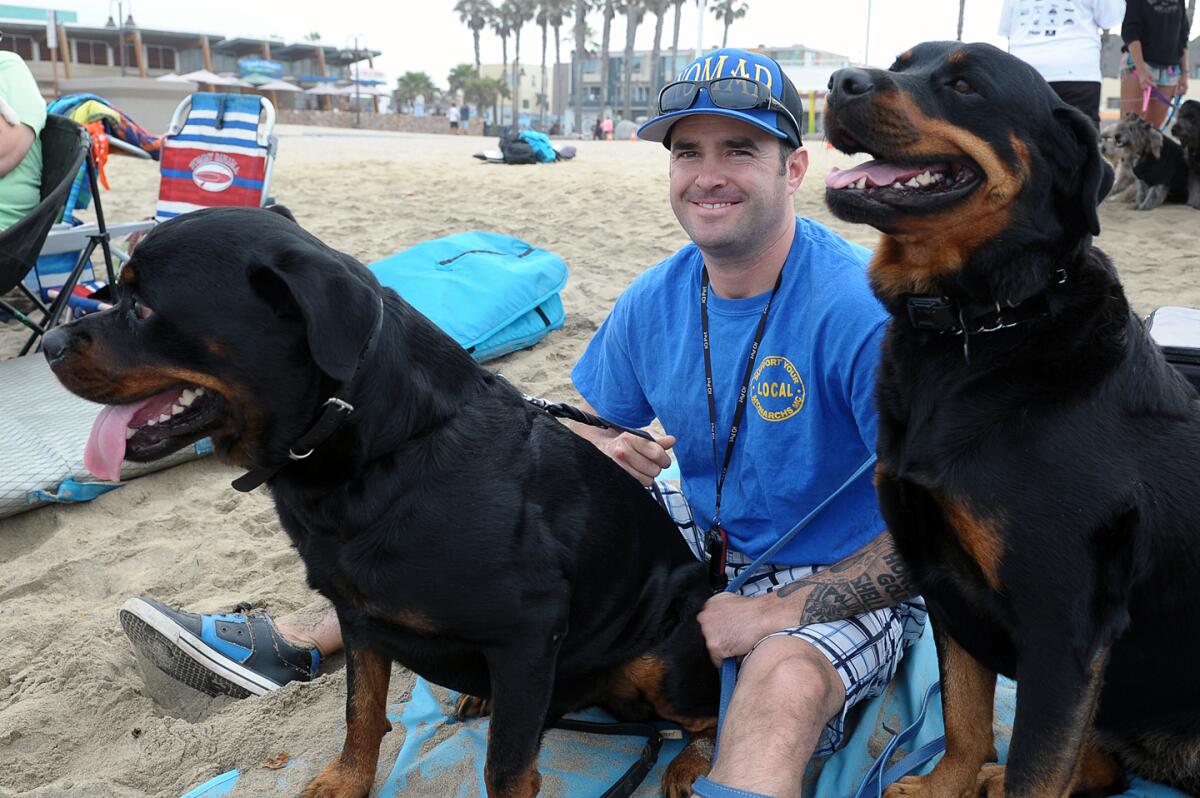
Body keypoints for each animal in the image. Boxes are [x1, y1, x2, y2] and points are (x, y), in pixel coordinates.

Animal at [39, 206, 720, 796]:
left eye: (142, 306)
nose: (47, 345)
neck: (384, 450)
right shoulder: (358, 613)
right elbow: (360, 712)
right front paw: (346, 781)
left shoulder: (532, 629)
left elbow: (504, 767)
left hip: (663, 651)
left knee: (708, 714)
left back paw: (689, 765)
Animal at [825, 42, 1200, 796]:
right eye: (900, 64)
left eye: (966, 85)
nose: (838, 81)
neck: (982, 323)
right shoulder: (940, 577)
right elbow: (965, 721)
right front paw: (947, 784)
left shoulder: (1064, 632)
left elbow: (1034, 764)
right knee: (1100, 766)